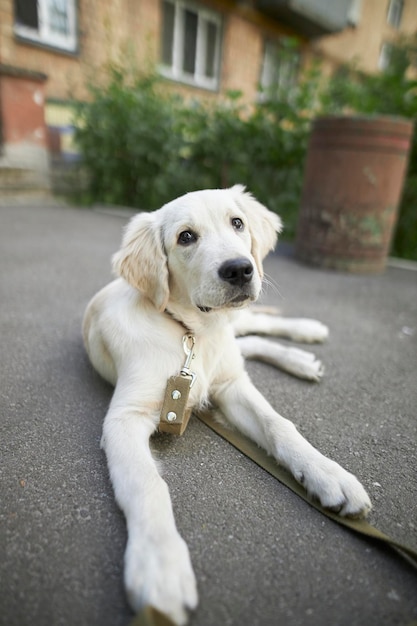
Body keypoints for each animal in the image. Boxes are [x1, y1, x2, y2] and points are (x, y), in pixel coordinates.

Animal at [82, 185, 370, 624]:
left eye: (237, 223)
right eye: (185, 237)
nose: (239, 269)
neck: (192, 332)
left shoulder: (233, 386)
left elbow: (278, 425)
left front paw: (328, 473)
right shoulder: (124, 419)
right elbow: (146, 485)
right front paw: (160, 567)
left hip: (240, 327)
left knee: (256, 328)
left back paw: (306, 335)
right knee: (248, 340)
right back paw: (301, 359)